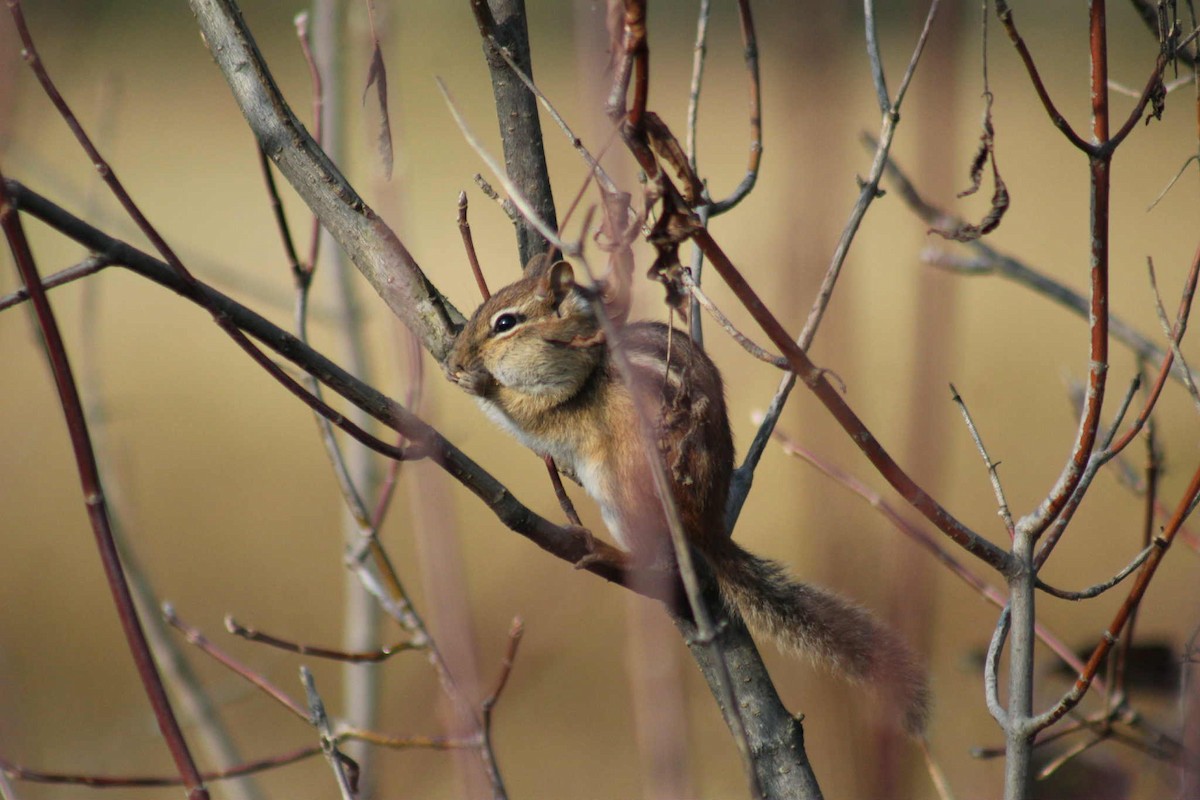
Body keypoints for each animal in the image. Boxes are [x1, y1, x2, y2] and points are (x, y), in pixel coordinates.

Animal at [445, 255, 930, 735]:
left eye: (506, 323)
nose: (455, 359)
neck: (589, 350)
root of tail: (708, 526)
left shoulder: (562, 395)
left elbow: (525, 414)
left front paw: (480, 384)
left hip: (621, 489)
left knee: (657, 562)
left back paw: (602, 551)